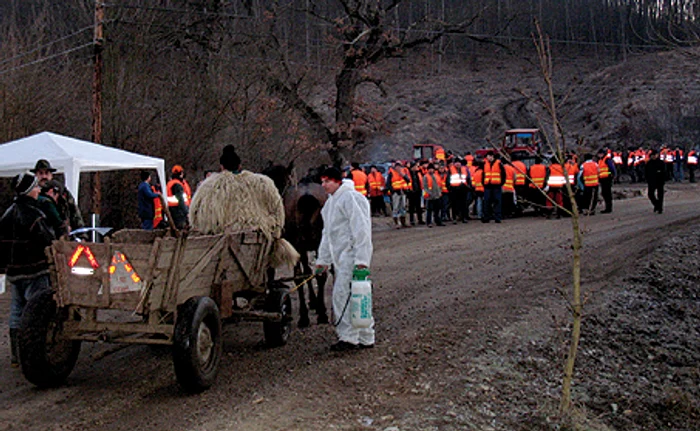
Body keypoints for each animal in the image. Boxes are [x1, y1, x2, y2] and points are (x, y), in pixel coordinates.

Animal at [262, 162, 330, 328]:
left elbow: (305, 272)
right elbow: (308, 271)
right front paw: (314, 303)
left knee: (302, 275)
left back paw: (306, 315)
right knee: (317, 274)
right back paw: (319, 314)